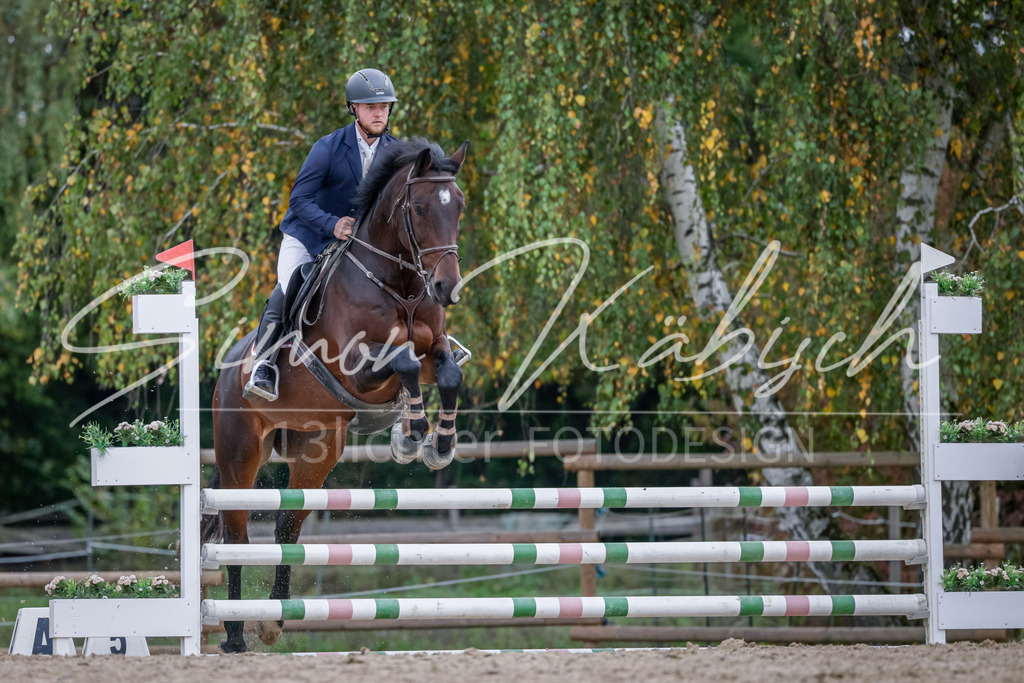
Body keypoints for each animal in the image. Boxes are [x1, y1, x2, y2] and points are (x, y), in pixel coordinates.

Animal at [205, 138, 469, 653]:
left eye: (460, 207)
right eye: (420, 208)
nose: (446, 287)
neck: (399, 284)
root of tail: (227, 369)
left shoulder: (433, 349)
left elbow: (446, 374)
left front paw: (439, 443)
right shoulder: (356, 368)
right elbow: (404, 363)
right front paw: (412, 434)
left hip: (317, 448)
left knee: (288, 527)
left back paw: (273, 620)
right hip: (239, 452)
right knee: (236, 534)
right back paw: (234, 635)